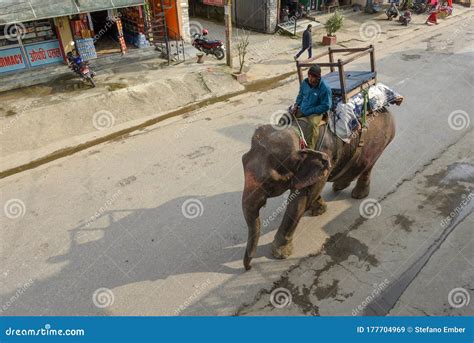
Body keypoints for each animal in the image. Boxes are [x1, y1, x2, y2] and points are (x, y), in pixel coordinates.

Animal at [243, 110, 394, 272]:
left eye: (270, 183)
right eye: (243, 160)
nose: (248, 267)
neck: (297, 132)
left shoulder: (326, 155)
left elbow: (299, 202)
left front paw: (280, 254)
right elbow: (311, 193)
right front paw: (319, 210)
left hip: (380, 142)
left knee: (368, 166)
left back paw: (358, 194)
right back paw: (340, 185)